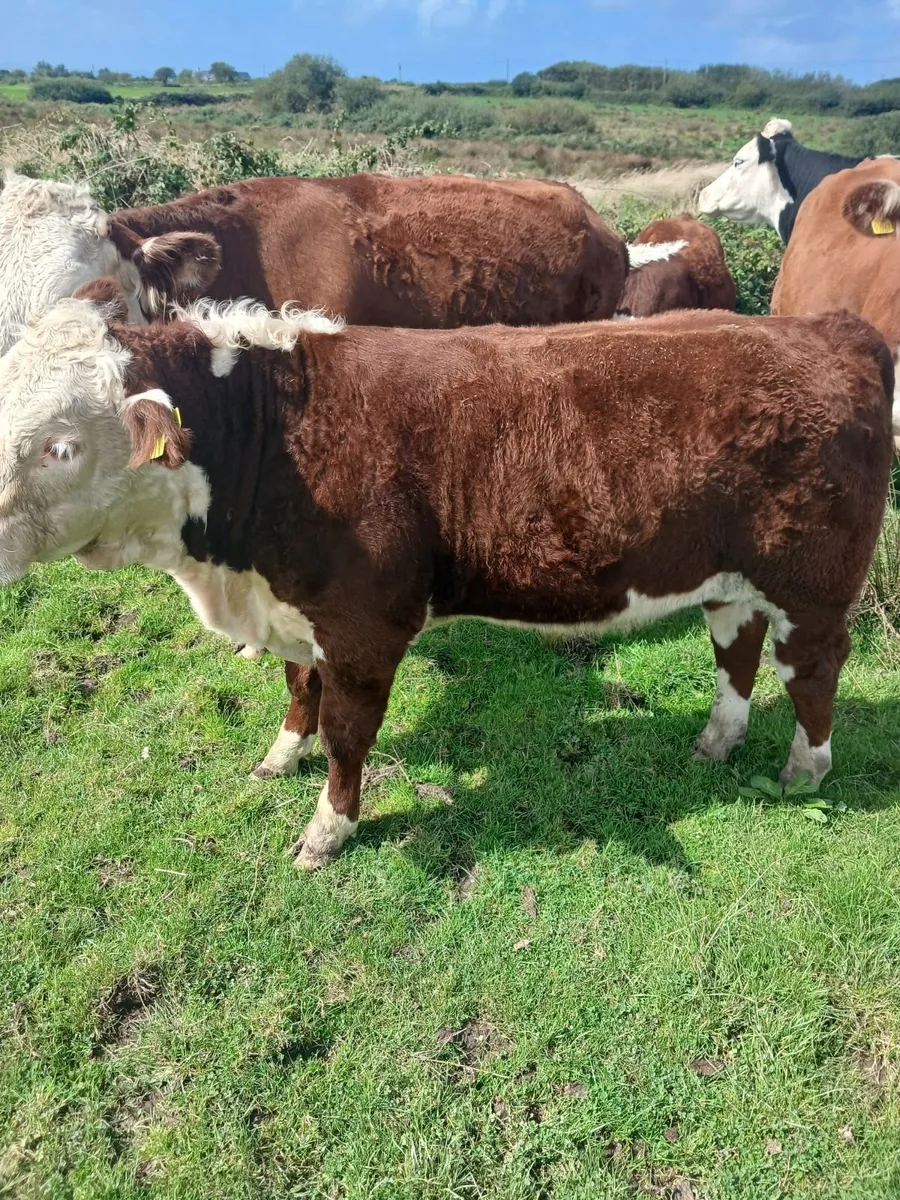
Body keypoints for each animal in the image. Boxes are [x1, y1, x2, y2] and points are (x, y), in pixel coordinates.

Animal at [0, 288, 891, 868]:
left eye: (60, 445)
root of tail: (832, 328)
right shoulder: (294, 605)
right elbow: (298, 686)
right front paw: (280, 755)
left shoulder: (365, 621)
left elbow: (348, 731)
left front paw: (329, 829)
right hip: (729, 574)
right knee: (736, 650)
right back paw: (717, 740)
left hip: (812, 579)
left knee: (811, 669)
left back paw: (805, 768)